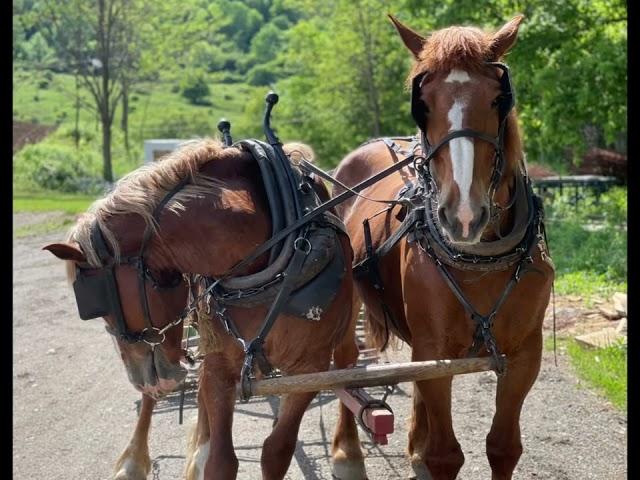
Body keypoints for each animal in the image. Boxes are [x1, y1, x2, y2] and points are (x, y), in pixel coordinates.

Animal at [43, 140, 364, 480]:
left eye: (99, 301)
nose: (145, 379)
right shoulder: (218, 362)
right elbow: (221, 460)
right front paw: (204, 452)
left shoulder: (309, 370)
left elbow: (276, 450)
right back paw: (139, 459)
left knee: (347, 358)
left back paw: (349, 454)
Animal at [332, 15, 552, 480]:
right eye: (424, 103)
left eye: (498, 99)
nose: (463, 214)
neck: (481, 257)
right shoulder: (435, 352)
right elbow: (446, 455)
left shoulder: (526, 354)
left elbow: (504, 447)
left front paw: (423, 446)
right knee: (344, 366)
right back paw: (347, 453)